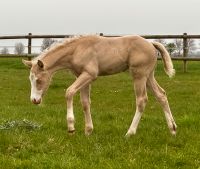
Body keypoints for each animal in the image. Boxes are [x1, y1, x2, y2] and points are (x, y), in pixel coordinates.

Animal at [22, 35, 177, 137]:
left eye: (39, 80)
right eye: (30, 79)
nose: (34, 100)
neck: (77, 49)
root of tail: (151, 44)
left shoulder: (90, 74)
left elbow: (69, 92)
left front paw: (71, 127)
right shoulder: (82, 77)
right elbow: (85, 103)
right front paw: (88, 130)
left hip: (139, 75)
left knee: (142, 100)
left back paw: (130, 133)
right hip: (148, 76)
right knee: (161, 95)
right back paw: (173, 129)